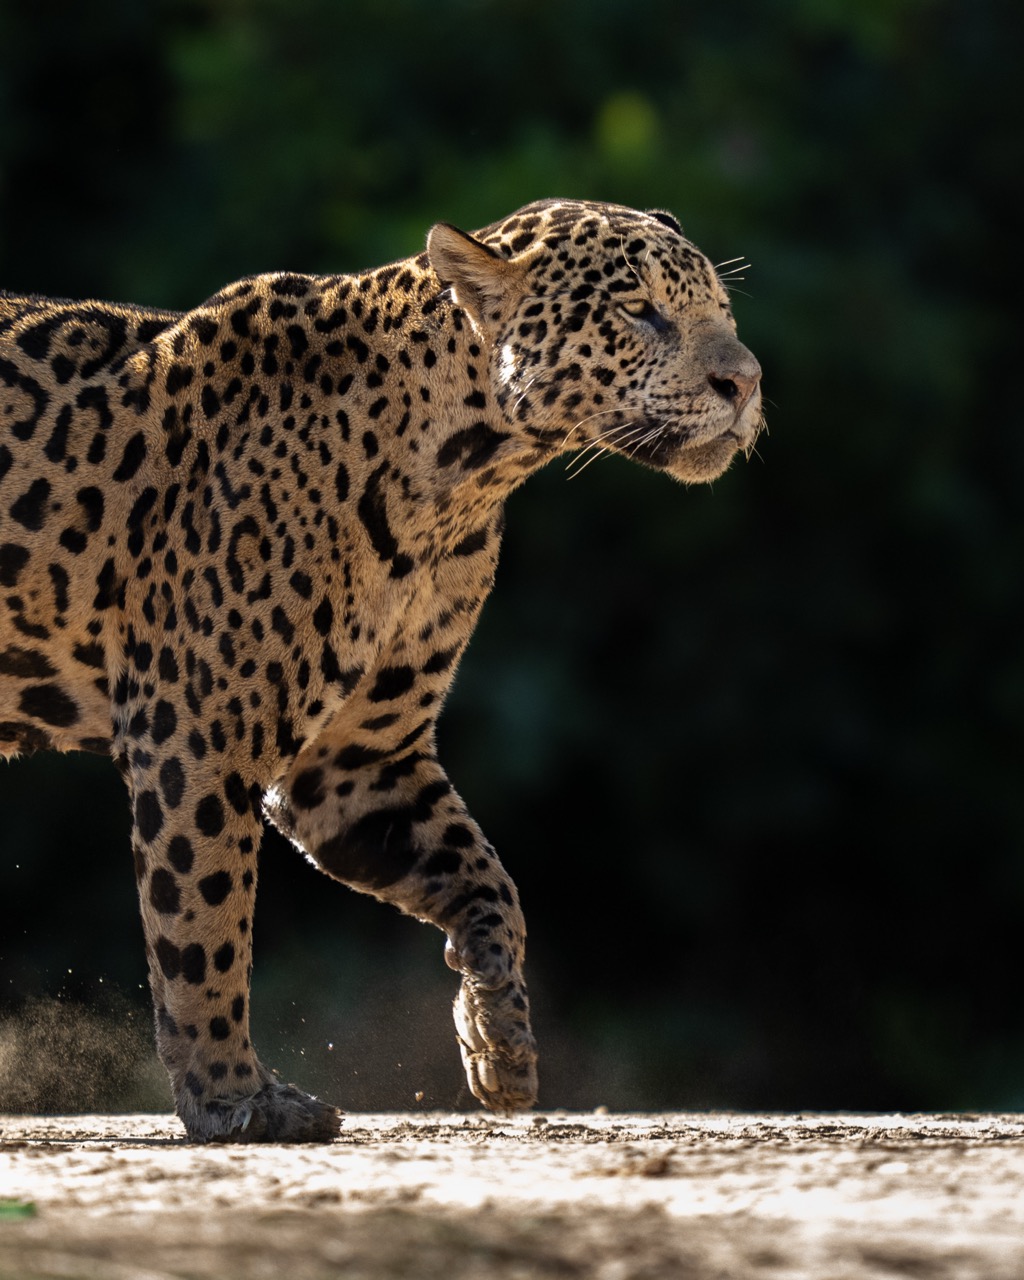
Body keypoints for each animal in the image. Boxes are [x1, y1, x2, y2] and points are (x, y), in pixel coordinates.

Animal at [0, 199, 762, 1141]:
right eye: (639, 311)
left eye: (721, 313)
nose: (746, 382)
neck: (459, 478)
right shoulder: (197, 731)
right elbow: (205, 923)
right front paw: (236, 1098)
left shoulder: (360, 760)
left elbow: (487, 880)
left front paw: (497, 1039)